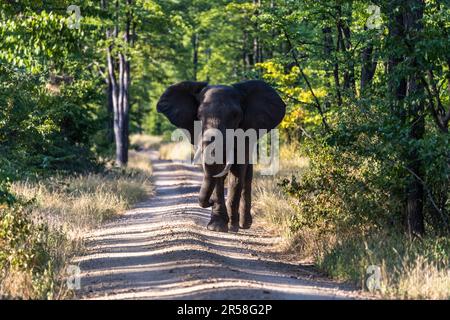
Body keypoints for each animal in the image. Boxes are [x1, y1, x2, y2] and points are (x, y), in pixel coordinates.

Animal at [156, 80, 286, 232]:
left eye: (236, 116)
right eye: (199, 116)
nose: (210, 202)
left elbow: (237, 175)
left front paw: (232, 227)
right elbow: (216, 174)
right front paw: (216, 227)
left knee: (246, 176)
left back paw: (244, 224)